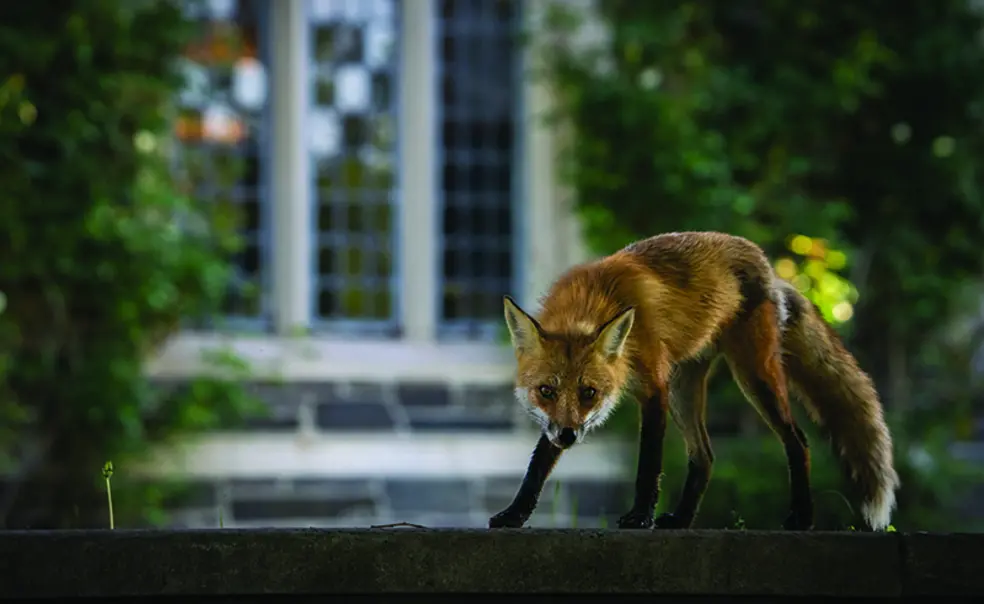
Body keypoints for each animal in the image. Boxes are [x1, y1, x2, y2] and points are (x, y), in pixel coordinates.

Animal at [489, 231, 899, 532]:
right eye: (546, 391)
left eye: (589, 392)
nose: (570, 437)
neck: (591, 305)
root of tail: (768, 267)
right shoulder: (560, 420)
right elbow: (537, 466)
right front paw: (515, 514)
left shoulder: (653, 389)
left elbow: (648, 464)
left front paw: (640, 516)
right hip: (685, 390)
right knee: (705, 456)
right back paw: (683, 519)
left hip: (753, 377)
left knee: (797, 441)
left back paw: (802, 517)